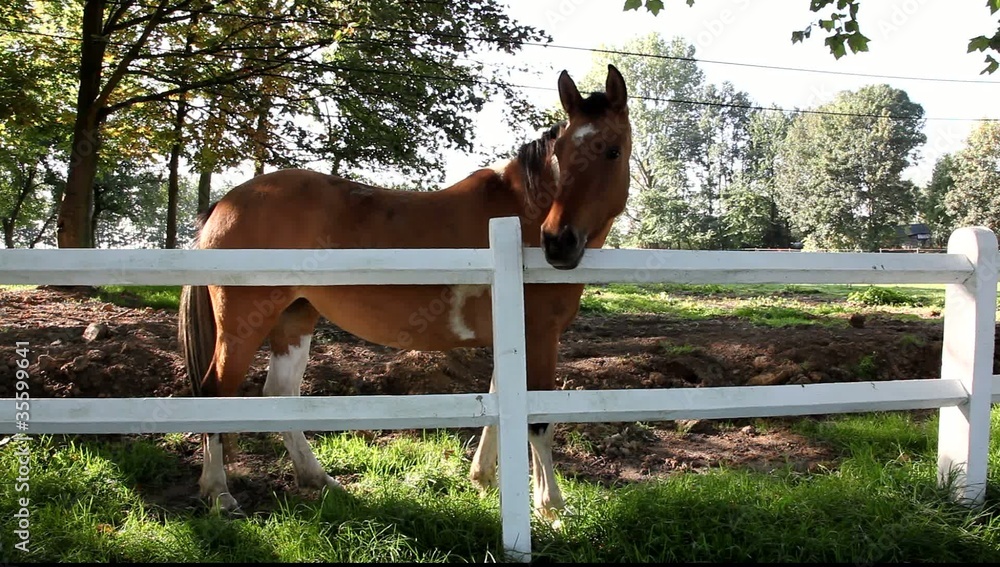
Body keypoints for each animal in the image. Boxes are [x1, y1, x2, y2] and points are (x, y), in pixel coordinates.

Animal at [178, 64, 633, 521]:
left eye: (612, 151)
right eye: (562, 154)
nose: (558, 243)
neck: (519, 219)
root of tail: (225, 203)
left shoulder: (513, 337)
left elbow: (499, 403)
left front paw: (484, 479)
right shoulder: (539, 335)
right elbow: (537, 420)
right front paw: (552, 507)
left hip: (295, 318)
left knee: (279, 394)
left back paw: (318, 479)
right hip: (241, 327)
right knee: (215, 391)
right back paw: (219, 492)